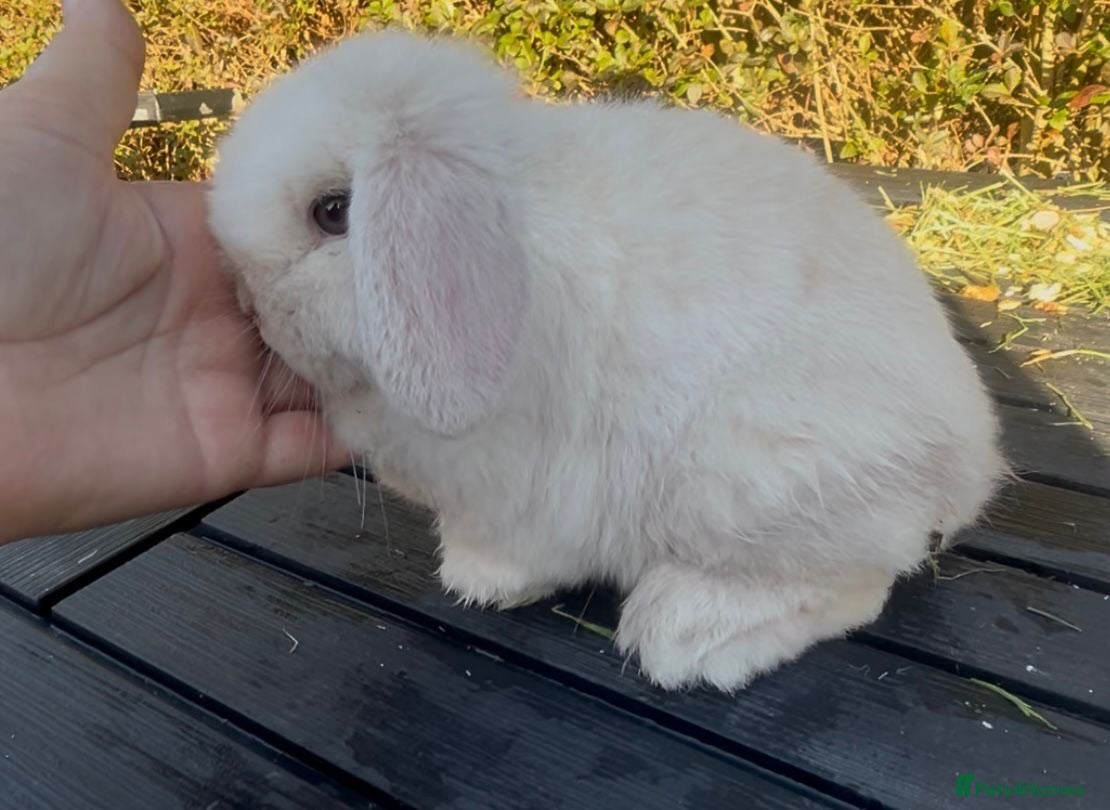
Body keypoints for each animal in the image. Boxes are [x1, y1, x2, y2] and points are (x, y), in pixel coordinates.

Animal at [207, 28, 1005, 692]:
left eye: (333, 212)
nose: (248, 303)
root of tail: (968, 462)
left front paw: (483, 578)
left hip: (755, 478)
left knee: (856, 585)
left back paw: (686, 633)